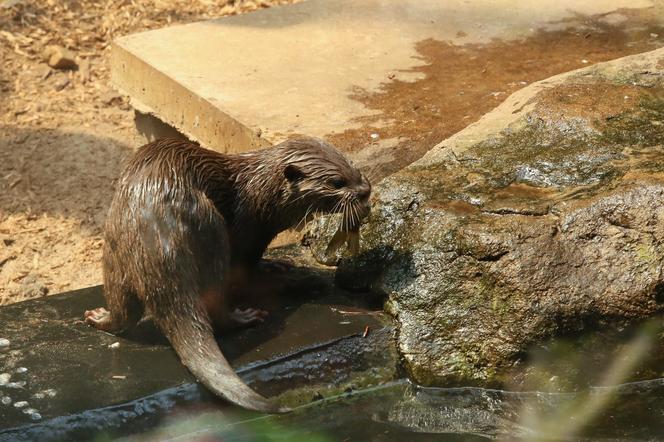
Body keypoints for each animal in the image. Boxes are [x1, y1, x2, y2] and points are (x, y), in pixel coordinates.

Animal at [83, 136, 370, 412]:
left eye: (354, 168)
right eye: (337, 182)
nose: (365, 191)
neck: (260, 193)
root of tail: (157, 232)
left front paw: (276, 264)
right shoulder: (249, 230)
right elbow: (246, 271)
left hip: (114, 252)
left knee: (124, 310)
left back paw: (99, 318)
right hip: (213, 233)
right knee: (216, 308)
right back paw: (245, 317)